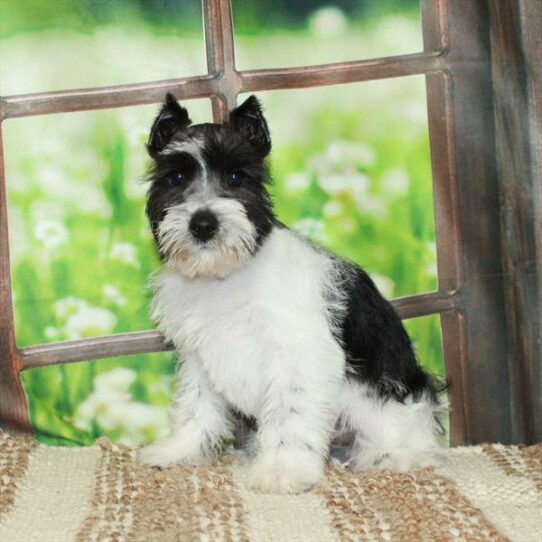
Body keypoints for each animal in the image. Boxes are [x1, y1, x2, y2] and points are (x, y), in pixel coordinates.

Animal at [137, 94, 446, 498]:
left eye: (236, 176)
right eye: (176, 178)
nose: (203, 224)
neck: (228, 275)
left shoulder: (298, 357)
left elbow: (290, 415)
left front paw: (282, 469)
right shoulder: (199, 357)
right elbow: (195, 404)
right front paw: (180, 449)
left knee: (413, 439)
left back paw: (392, 455)